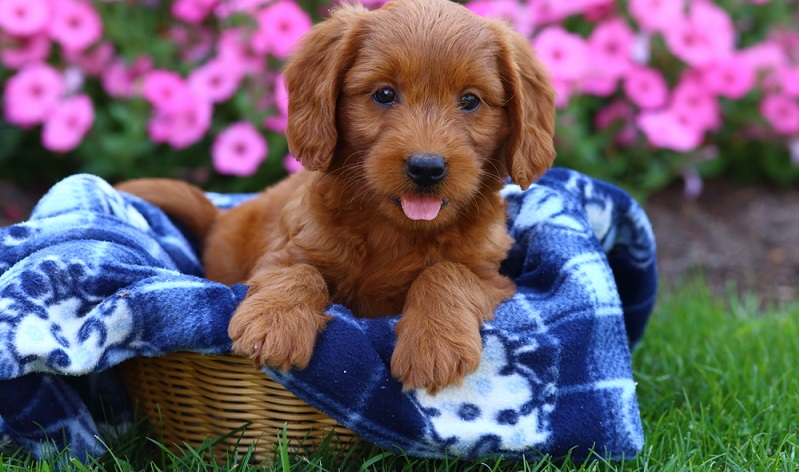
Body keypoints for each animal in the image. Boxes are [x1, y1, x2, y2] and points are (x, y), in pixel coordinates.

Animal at [117, 0, 556, 392]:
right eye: (384, 94)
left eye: (470, 100)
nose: (427, 167)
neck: (396, 230)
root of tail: (219, 217)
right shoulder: (281, 254)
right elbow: (299, 271)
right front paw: (273, 324)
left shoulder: (493, 278)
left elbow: (447, 272)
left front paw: (434, 344)